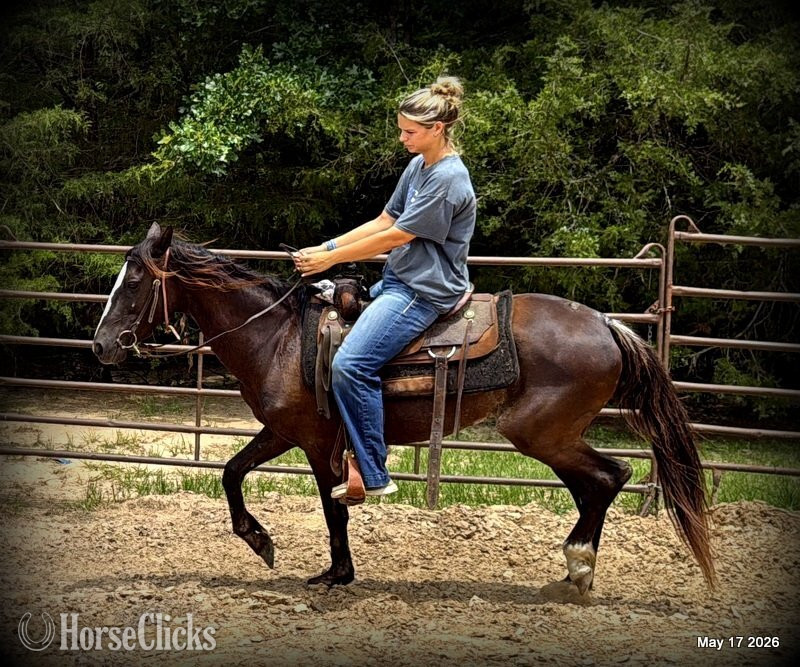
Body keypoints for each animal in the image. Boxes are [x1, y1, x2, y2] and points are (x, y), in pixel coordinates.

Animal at [92, 223, 715, 593]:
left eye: (136, 282)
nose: (100, 346)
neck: (279, 338)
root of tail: (609, 326)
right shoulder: (284, 431)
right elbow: (230, 472)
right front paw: (261, 542)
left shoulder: (317, 442)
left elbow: (333, 508)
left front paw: (337, 574)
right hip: (551, 435)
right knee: (597, 484)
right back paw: (575, 572)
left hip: (540, 432)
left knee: (610, 476)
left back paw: (579, 563)